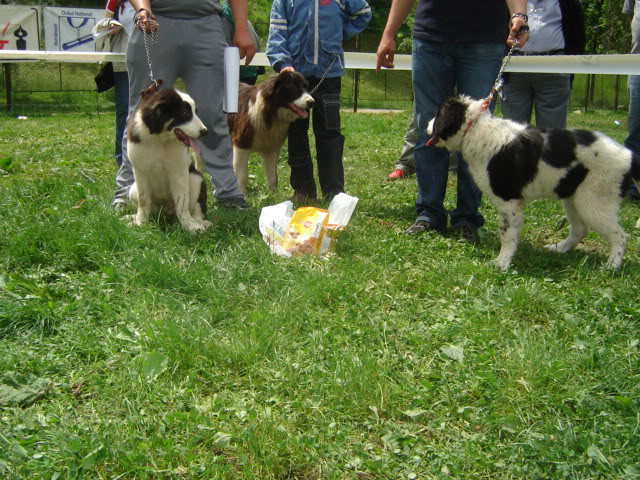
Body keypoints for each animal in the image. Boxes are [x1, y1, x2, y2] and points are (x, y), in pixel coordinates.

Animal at [126, 85, 211, 234]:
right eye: (184, 112)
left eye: (195, 112)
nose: (205, 132)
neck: (159, 139)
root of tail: (166, 212)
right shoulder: (140, 171)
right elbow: (143, 200)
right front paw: (140, 222)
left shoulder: (179, 172)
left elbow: (182, 201)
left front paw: (189, 225)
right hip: (132, 189)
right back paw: (132, 217)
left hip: (196, 178)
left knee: (197, 211)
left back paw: (200, 222)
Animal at [424, 95, 640, 272]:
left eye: (438, 114)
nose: (426, 124)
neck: (475, 128)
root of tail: (629, 155)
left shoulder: (509, 200)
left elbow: (507, 234)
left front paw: (502, 263)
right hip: (573, 198)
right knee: (580, 229)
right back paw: (559, 248)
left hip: (594, 201)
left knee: (620, 235)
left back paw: (612, 267)